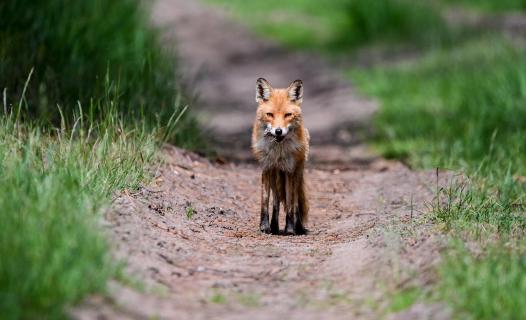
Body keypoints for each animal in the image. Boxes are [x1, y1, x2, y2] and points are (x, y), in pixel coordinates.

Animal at [252, 77, 310, 235]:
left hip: (297, 173)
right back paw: (274, 226)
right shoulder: (266, 168)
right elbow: (265, 202)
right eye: (270, 114)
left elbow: (290, 204)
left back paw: (297, 227)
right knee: (276, 201)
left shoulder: (289, 171)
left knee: (295, 201)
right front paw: (264, 227)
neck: (278, 152)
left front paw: (289, 229)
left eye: (288, 115)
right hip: (275, 176)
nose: (278, 131)